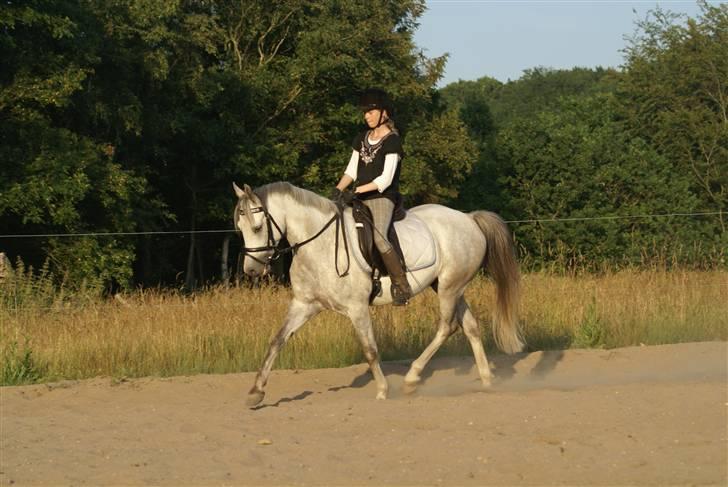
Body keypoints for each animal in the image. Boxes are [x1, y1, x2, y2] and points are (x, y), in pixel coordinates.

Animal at [233, 181, 524, 407]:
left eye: (257, 227)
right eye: (240, 227)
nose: (251, 270)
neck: (319, 244)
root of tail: (469, 218)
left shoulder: (357, 308)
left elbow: (370, 349)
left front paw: (383, 390)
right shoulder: (304, 305)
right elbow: (277, 340)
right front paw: (255, 392)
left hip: (450, 288)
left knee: (447, 327)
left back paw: (412, 379)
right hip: (449, 286)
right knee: (470, 326)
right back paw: (486, 381)